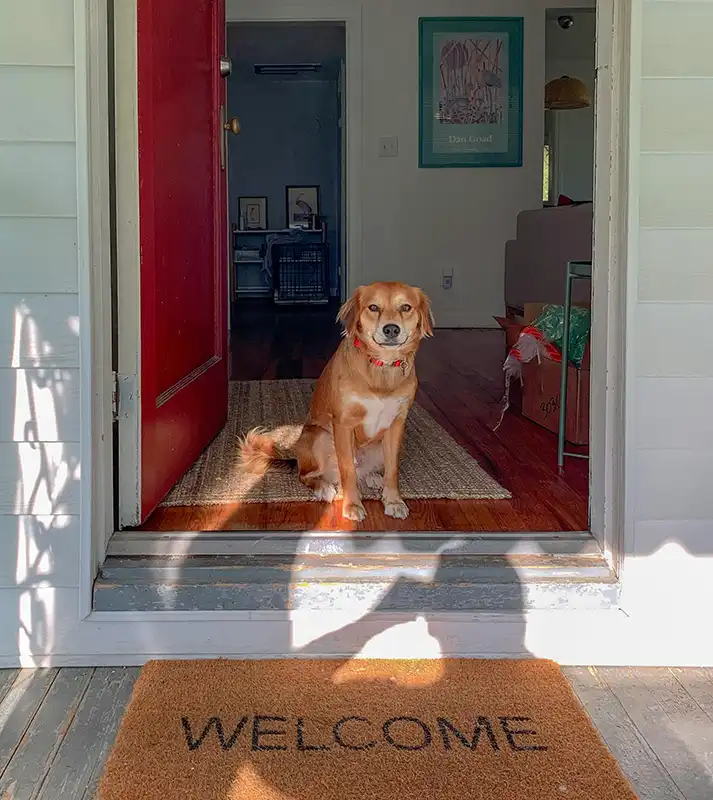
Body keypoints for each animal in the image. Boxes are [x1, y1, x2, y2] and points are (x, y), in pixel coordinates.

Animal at [241, 282, 434, 520]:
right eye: (373, 307)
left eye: (406, 307)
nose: (391, 329)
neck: (381, 367)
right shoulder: (343, 424)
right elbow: (347, 470)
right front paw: (352, 505)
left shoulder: (397, 423)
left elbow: (392, 469)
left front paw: (393, 501)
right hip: (319, 437)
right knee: (307, 475)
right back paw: (325, 487)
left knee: (363, 471)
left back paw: (372, 477)